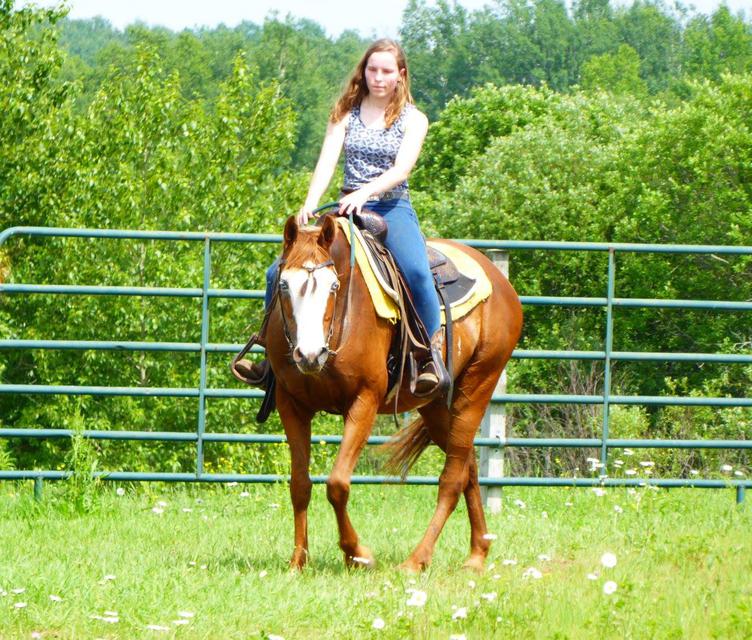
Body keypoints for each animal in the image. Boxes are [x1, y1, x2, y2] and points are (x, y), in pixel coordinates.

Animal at [265, 213, 522, 572]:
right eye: (284, 285)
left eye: (333, 286)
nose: (309, 355)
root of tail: (500, 282)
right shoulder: (292, 404)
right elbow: (300, 485)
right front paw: (297, 562)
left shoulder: (364, 401)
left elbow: (338, 483)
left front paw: (357, 554)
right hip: (435, 406)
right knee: (467, 468)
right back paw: (477, 553)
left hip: (478, 387)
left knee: (452, 480)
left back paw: (417, 559)